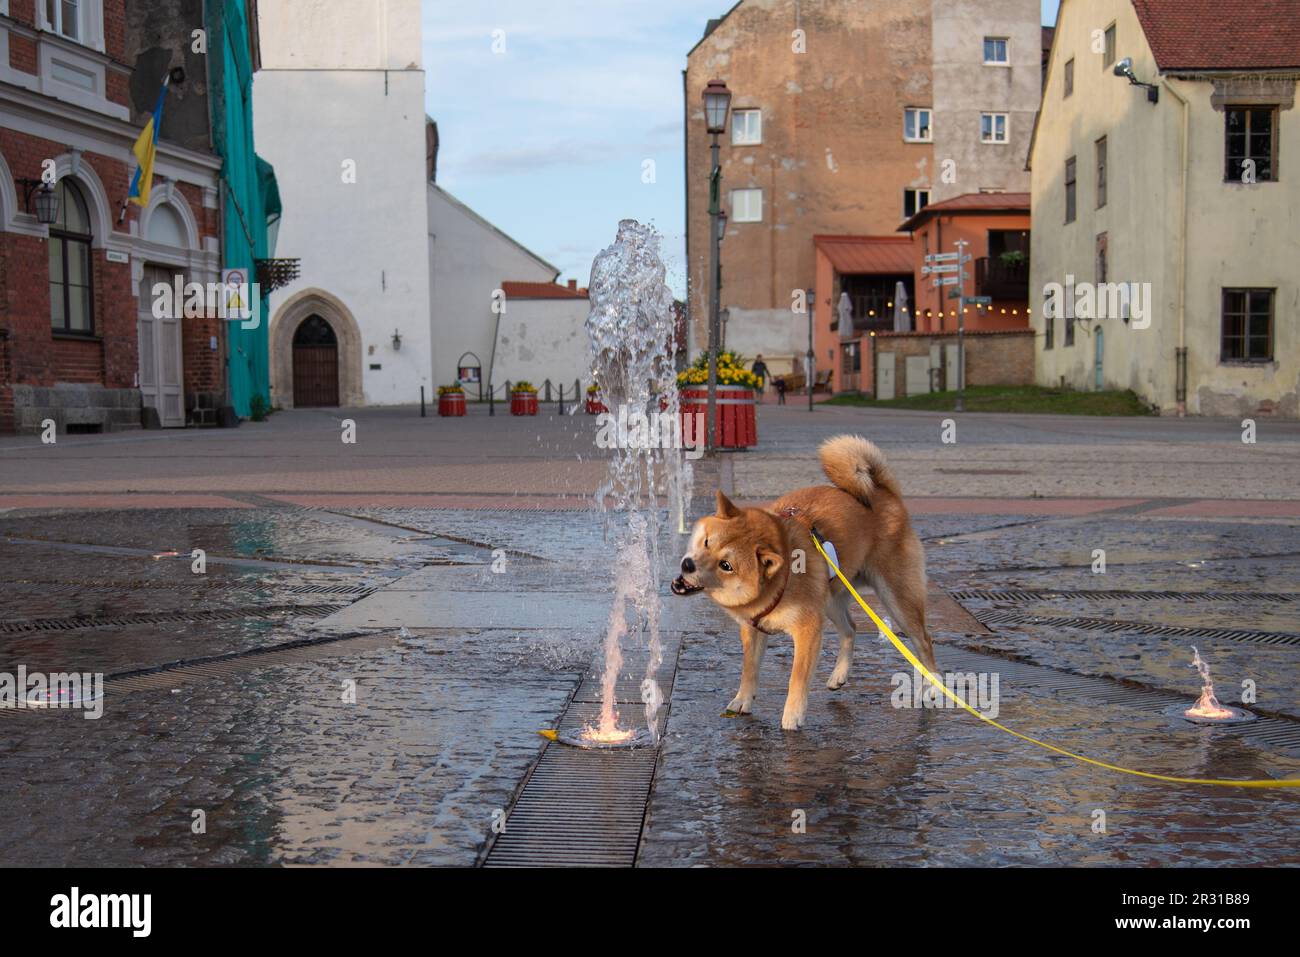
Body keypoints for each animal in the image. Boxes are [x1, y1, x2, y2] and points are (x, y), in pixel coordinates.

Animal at [670, 434, 935, 733]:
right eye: (707, 542)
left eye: (726, 565)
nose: (687, 565)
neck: (776, 585)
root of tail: (884, 492)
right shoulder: (753, 629)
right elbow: (749, 669)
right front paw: (742, 700)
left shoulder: (807, 629)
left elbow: (797, 678)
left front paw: (792, 715)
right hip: (830, 599)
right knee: (851, 629)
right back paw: (839, 675)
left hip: (897, 598)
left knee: (924, 642)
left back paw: (930, 690)